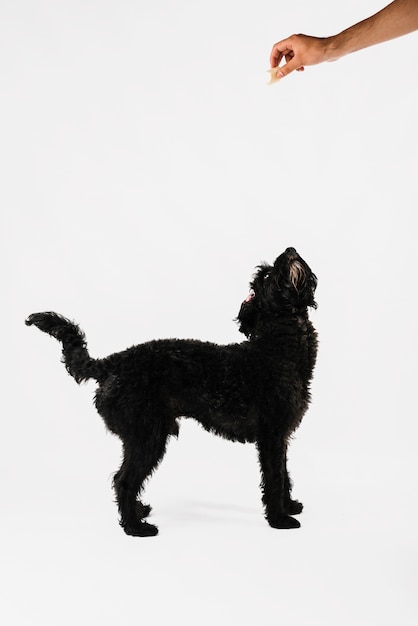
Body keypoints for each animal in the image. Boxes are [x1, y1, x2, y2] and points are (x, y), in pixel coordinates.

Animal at [25, 246, 316, 532]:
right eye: (265, 276)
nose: (290, 249)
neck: (275, 349)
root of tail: (111, 363)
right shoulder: (271, 435)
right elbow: (275, 477)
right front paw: (280, 519)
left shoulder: (281, 436)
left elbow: (285, 474)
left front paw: (289, 507)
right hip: (147, 436)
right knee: (124, 480)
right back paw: (136, 527)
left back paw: (138, 512)